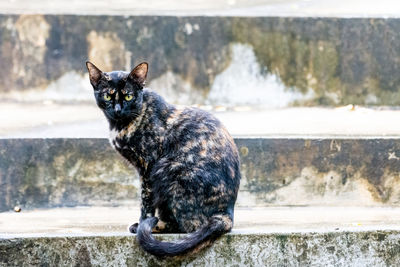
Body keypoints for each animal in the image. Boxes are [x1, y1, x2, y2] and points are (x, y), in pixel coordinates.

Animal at [85, 60, 241, 258]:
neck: (121, 124)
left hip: (167, 170)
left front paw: (142, 223)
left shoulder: (148, 167)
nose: (118, 109)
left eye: (128, 96)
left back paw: (152, 226)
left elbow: (146, 201)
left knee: (189, 226)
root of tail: (226, 214)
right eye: (107, 96)